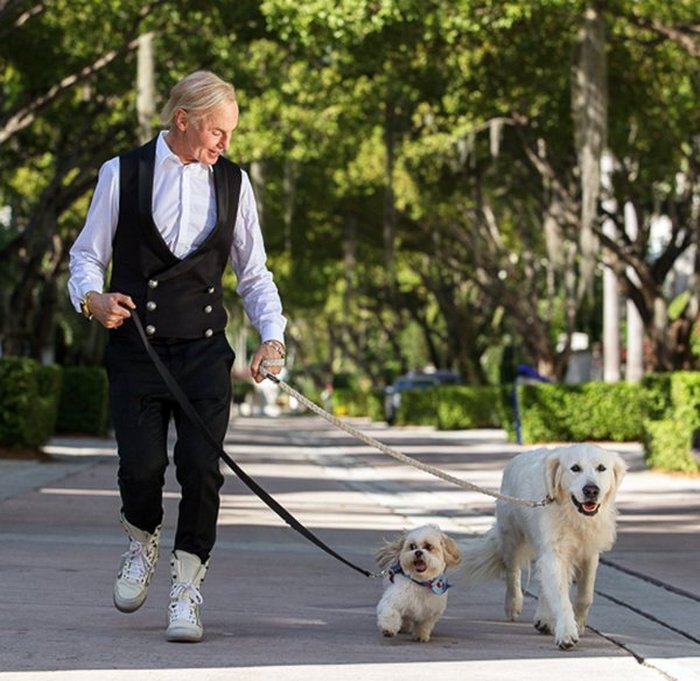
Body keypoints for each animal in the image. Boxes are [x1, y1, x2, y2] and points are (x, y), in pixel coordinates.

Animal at [462, 444, 628, 652]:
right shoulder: (554, 553)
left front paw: (579, 623)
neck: (574, 515)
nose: (591, 490)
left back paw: (544, 618)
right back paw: (513, 605)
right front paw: (567, 633)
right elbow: (561, 598)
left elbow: (585, 596)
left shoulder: (589, 553)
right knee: (512, 573)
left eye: (601, 468)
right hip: (511, 538)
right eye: (575, 468)